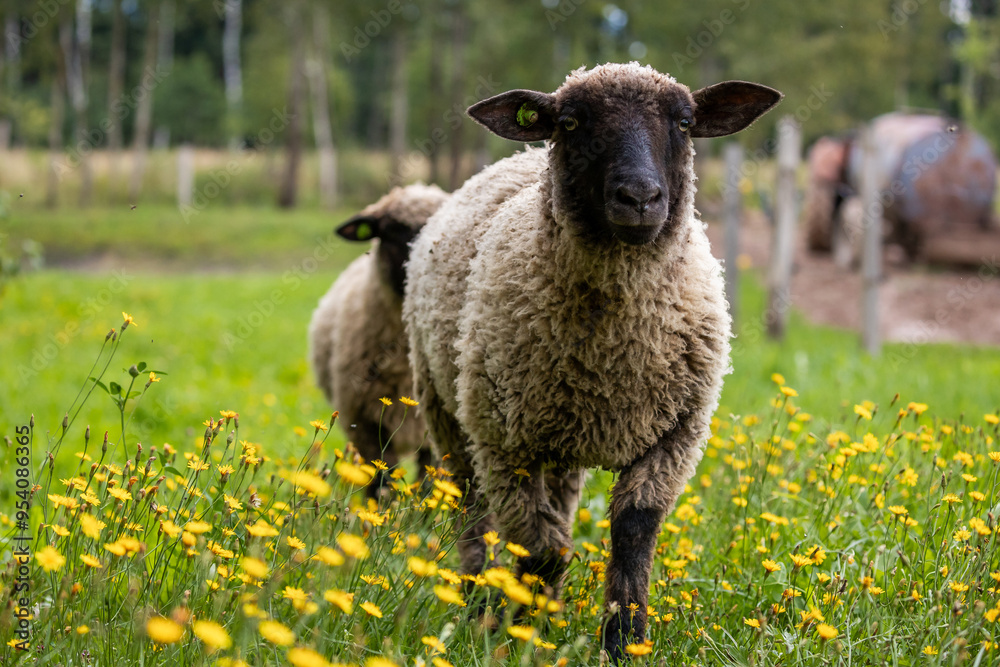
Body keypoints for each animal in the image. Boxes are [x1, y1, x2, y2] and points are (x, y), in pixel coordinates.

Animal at [403, 63, 781, 661]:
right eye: (572, 122)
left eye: (685, 122)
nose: (640, 197)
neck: (611, 356)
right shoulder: (505, 443)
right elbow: (539, 545)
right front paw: (522, 634)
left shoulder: (675, 436)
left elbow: (632, 534)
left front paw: (625, 642)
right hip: (451, 413)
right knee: (472, 513)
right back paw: (476, 602)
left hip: (558, 433)